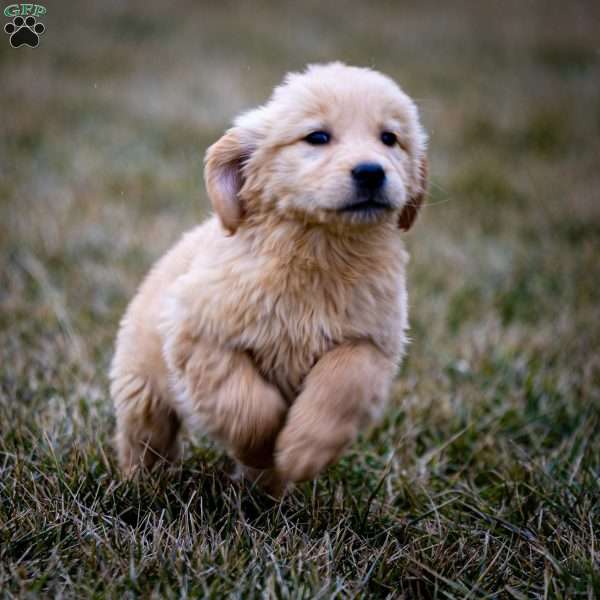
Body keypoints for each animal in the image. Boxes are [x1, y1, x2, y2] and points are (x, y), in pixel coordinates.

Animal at [111, 62, 426, 492]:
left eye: (389, 138)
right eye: (317, 136)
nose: (371, 172)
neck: (319, 250)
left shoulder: (372, 341)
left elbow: (342, 383)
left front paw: (302, 451)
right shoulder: (197, 331)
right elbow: (243, 402)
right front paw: (262, 449)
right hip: (141, 387)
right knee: (145, 439)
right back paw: (140, 486)